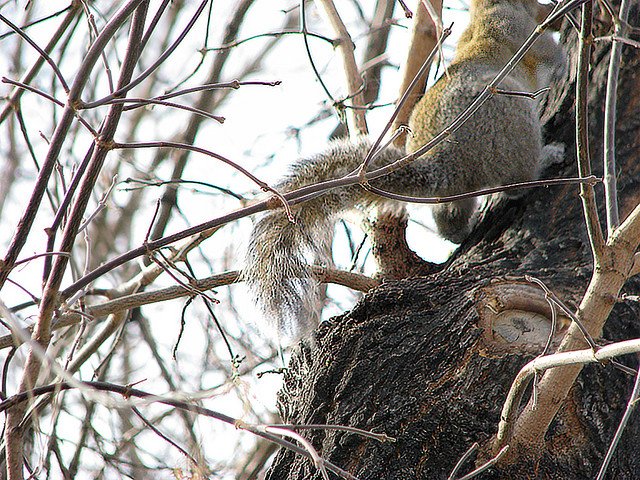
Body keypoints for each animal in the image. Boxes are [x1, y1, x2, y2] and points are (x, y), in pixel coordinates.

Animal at [243, 0, 565, 336]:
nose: (548, 8)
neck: (483, 13)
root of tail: (442, 163)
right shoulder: (527, 33)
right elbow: (552, 56)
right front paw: (565, 59)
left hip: (456, 189)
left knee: (449, 220)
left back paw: (463, 229)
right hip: (513, 119)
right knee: (517, 183)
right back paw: (546, 159)